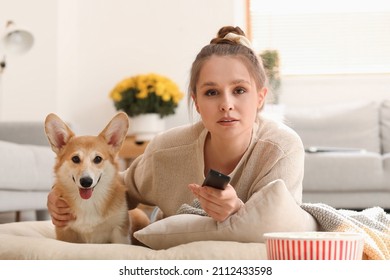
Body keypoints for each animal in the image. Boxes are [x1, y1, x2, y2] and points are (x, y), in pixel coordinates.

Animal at [44, 112, 149, 244]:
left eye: (98, 159)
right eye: (75, 159)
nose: (86, 182)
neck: (89, 202)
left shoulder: (120, 231)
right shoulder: (66, 233)